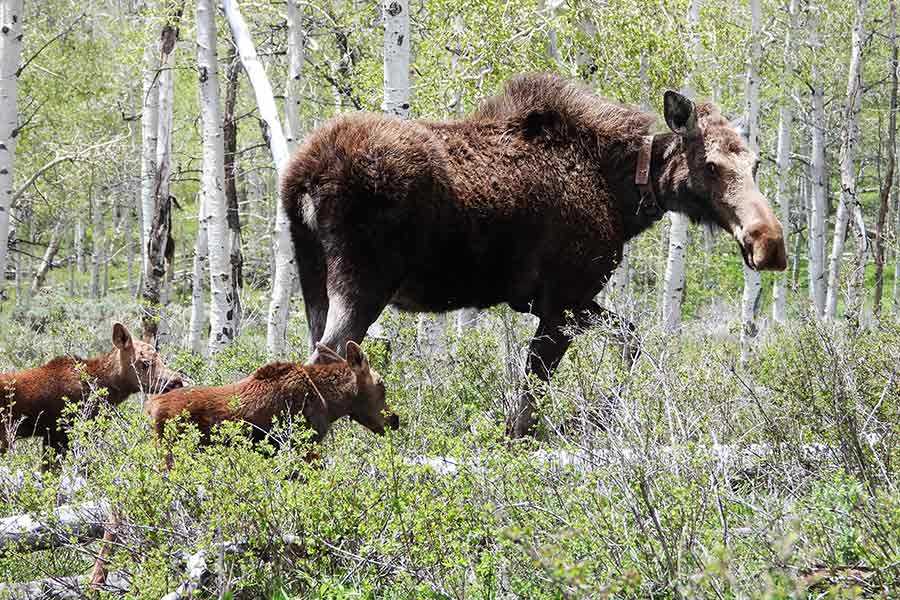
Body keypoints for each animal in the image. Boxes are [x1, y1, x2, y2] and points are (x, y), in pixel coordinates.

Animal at [284, 72, 788, 436]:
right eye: (711, 165)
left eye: (755, 163)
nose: (770, 243)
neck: (626, 195)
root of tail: (303, 178)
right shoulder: (563, 299)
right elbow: (529, 397)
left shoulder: (552, 300)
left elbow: (629, 339)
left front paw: (601, 411)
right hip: (363, 282)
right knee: (326, 359)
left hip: (313, 281)